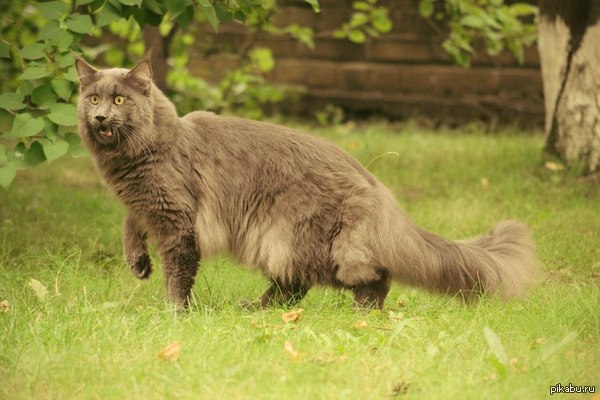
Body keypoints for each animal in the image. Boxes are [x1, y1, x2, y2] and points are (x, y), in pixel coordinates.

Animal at [75, 56, 540, 310]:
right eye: (93, 98)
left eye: (119, 99)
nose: (100, 117)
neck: (145, 150)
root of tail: (377, 188)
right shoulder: (145, 205)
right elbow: (129, 226)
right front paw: (138, 263)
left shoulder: (177, 223)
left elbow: (177, 277)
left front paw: (175, 315)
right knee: (294, 288)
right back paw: (252, 310)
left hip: (293, 239)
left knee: (367, 277)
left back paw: (362, 316)